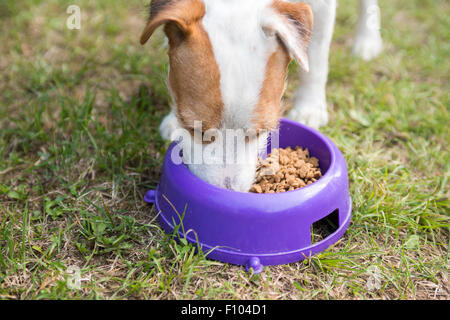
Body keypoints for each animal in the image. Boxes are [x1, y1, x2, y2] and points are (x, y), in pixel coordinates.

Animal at [141, 0, 384, 191]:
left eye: (261, 132)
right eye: (194, 129)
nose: (227, 190)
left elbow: (315, 58)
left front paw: (309, 107)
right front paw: (173, 119)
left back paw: (367, 39)